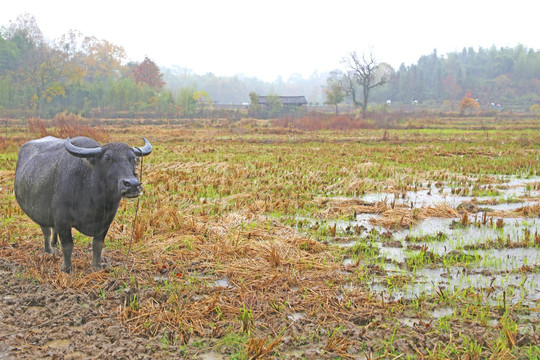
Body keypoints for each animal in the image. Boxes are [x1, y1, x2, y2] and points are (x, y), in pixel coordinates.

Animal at [14, 136, 152, 272]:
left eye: (134, 159)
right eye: (107, 158)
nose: (132, 184)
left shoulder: (106, 220)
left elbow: (98, 244)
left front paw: (96, 266)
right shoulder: (62, 219)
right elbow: (67, 245)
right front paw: (67, 268)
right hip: (41, 213)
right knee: (46, 231)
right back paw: (49, 251)